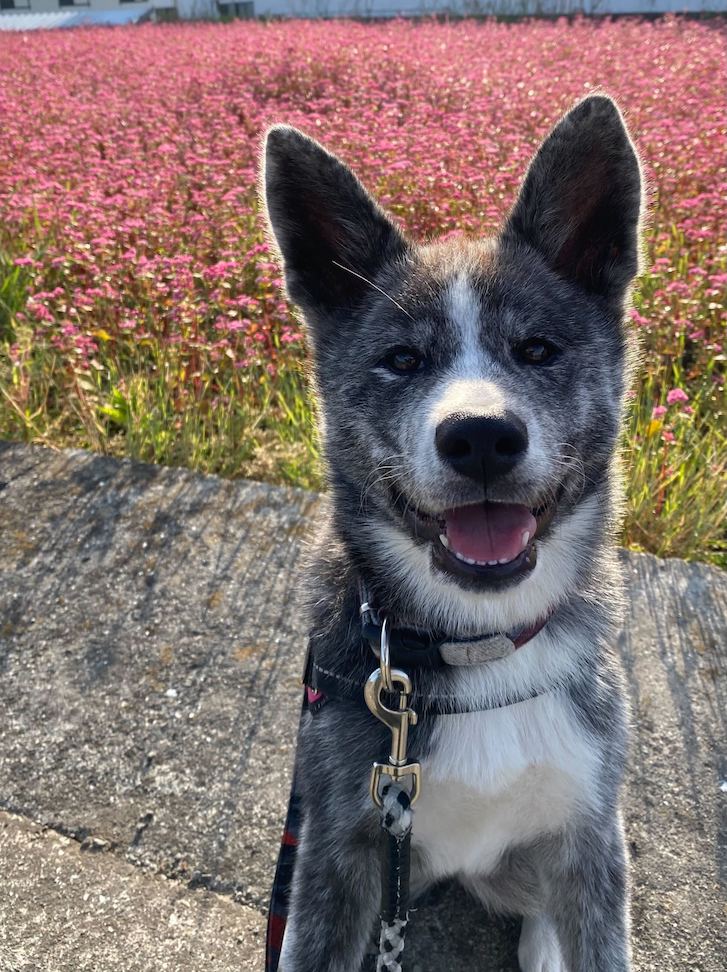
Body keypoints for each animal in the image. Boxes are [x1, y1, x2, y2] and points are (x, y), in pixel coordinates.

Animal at [262, 93, 644, 972]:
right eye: (401, 360)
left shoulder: (590, 839)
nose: (479, 437)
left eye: (536, 348)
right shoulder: (334, 849)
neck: (478, 639)